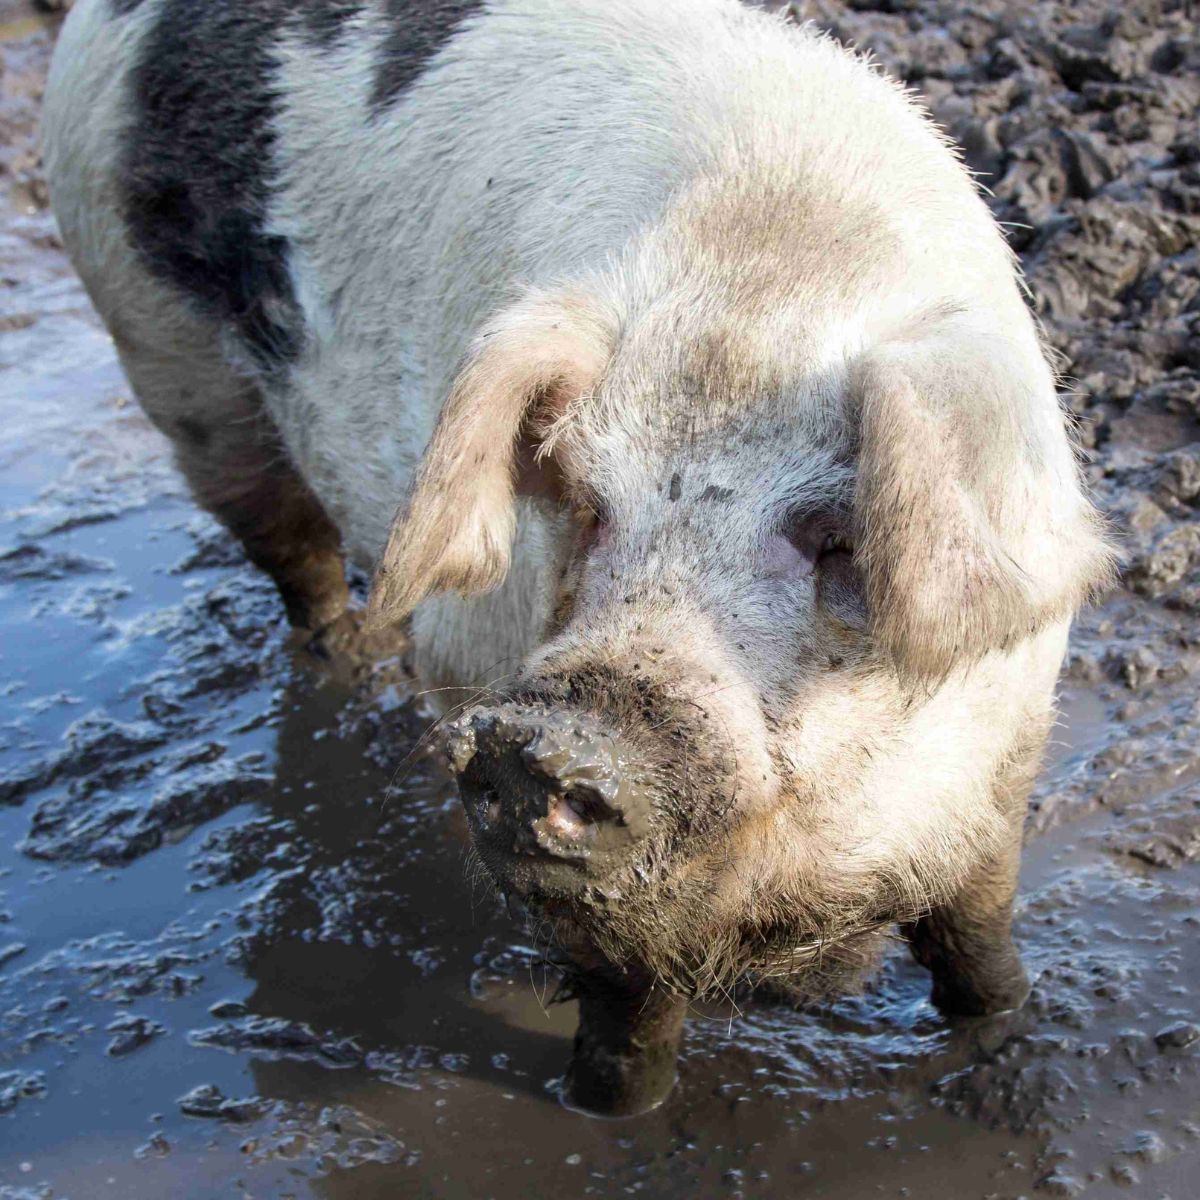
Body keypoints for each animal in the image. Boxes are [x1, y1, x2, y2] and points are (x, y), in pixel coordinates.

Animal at [43, 0, 1114, 1115]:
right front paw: (607, 1113)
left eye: (837, 534)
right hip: (172, 366)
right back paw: (346, 660)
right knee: (290, 552)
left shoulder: (1002, 763)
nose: (552, 738)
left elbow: (977, 942)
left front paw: (1003, 1041)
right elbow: (626, 1005)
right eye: (588, 504)